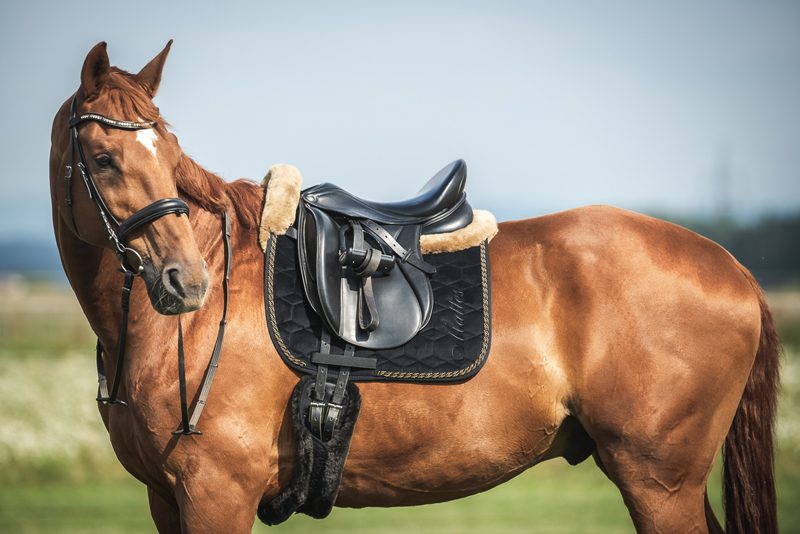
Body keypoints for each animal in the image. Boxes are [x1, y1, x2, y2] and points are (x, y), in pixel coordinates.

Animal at [49, 41, 779, 533]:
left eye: (170, 155)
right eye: (106, 159)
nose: (186, 281)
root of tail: (732, 267)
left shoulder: (215, 494)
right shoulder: (167, 498)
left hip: (659, 482)